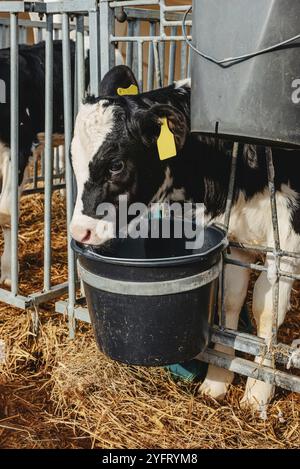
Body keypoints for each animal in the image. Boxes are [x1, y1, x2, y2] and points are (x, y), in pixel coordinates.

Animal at [69, 65, 300, 410]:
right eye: (72, 158)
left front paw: (258, 390)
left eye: (116, 164)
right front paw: (217, 379)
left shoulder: (286, 244)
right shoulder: (234, 240)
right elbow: (229, 301)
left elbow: (267, 311)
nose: (79, 231)